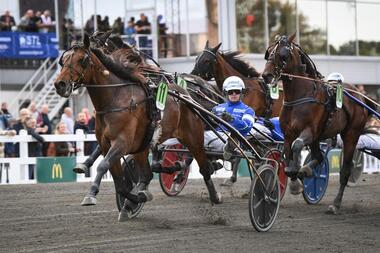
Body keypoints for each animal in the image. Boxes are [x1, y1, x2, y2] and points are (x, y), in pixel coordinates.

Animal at [55, 34, 224, 220]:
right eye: (63, 60)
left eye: (82, 59)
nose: (60, 84)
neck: (116, 99)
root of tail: (187, 94)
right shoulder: (109, 145)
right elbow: (120, 183)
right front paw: (135, 199)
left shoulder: (122, 143)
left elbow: (103, 166)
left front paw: (91, 194)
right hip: (143, 147)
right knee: (147, 174)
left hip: (193, 137)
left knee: (204, 167)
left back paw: (213, 194)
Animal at [262, 34, 374, 213]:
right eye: (269, 52)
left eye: (283, 54)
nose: (266, 75)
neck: (300, 96)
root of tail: (361, 97)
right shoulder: (288, 134)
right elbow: (288, 156)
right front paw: (295, 178)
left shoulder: (309, 131)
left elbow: (297, 146)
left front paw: (296, 177)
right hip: (318, 138)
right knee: (319, 157)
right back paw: (306, 170)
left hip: (351, 135)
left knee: (345, 171)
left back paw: (335, 204)